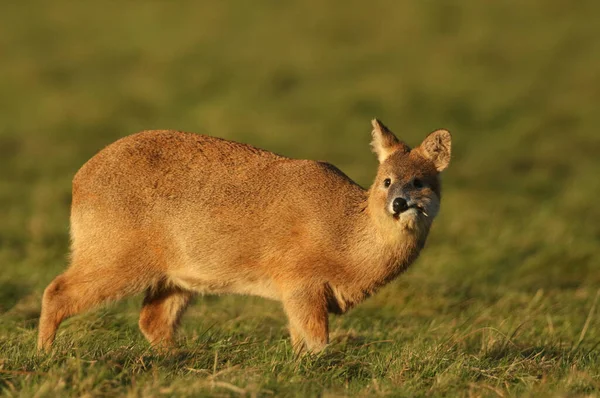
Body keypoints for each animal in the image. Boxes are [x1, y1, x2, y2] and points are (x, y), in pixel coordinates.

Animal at [37, 119, 450, 352]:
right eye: (386, 180)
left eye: (420, 181)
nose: (399, 203)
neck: (344, 237)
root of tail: (79, 180)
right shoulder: (299, 280)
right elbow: (317, 344)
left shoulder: (298, 292)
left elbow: (301, 343)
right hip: (115, 254)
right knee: (56, 290)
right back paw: (45, 355)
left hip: (176, 275)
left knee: (151, 320)